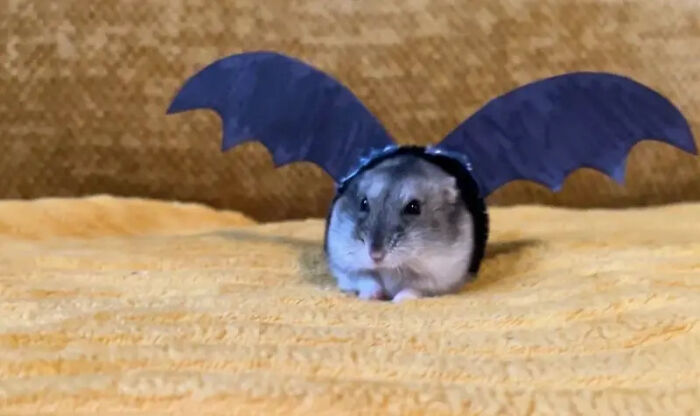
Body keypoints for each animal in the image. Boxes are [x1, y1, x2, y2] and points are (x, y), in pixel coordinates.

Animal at [324, 150, 488, 302]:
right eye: (363, 203)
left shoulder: (438, 280)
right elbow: (366, 279)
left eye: (414, 207)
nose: (375, 256)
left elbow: (412, 289)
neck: (392, 268)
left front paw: (398, 301)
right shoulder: (345, 268)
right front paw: (372, 297)